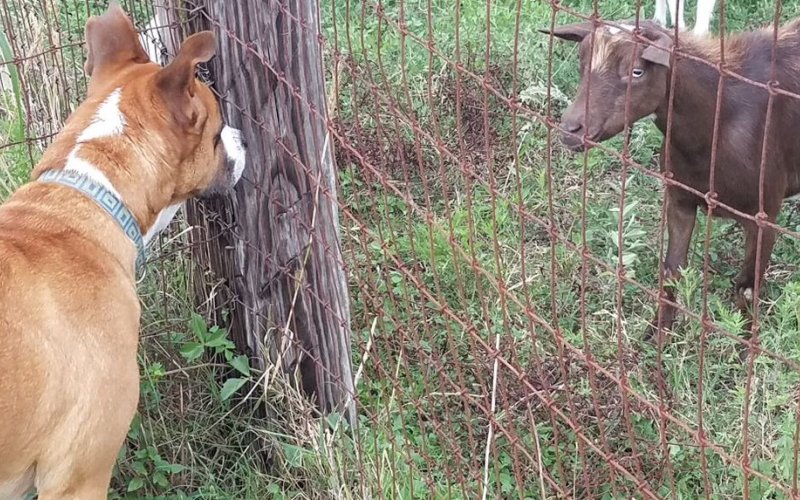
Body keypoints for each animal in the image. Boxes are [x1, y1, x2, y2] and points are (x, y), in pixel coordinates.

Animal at [544, 19, 800, 336]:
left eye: (637, 71)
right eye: (581, 63)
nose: (571, 130)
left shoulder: (763, 215)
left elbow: (747, 285)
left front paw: (743, 342)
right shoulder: (680, 199)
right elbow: (671, 270)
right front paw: (657, 335)